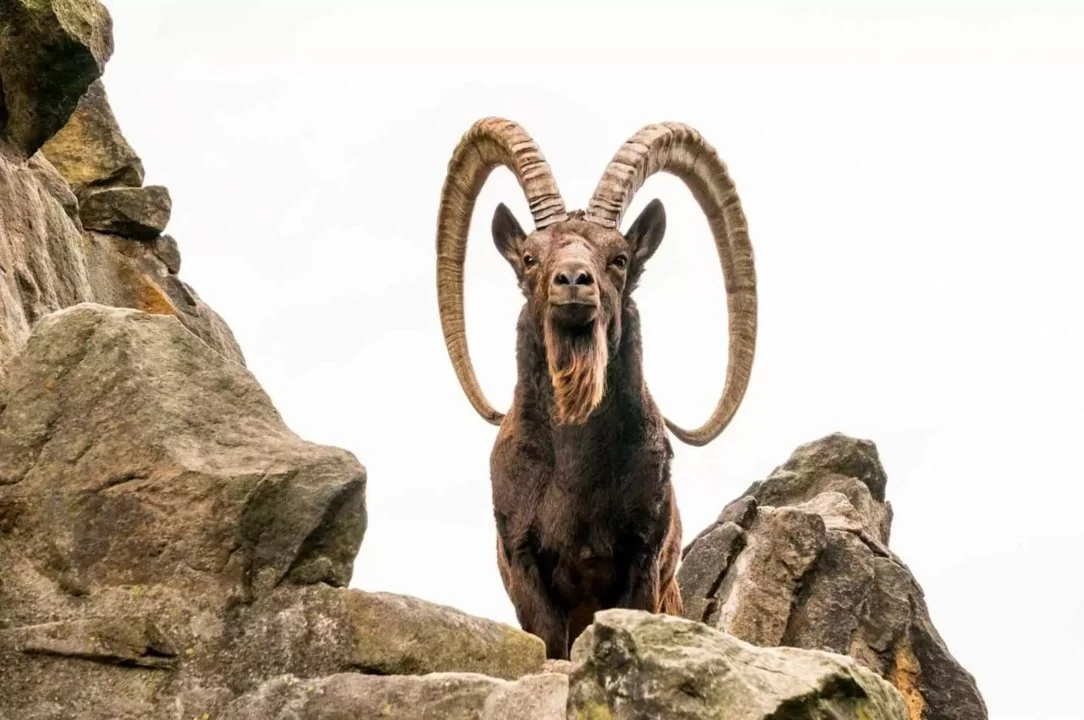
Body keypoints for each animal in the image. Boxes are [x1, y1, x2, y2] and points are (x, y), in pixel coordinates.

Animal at [434, 118, 757, 659]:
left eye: (619, 258)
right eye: (530, 257)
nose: (572, 280)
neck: (573, 473)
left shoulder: (641, 561)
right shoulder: (523, 563)